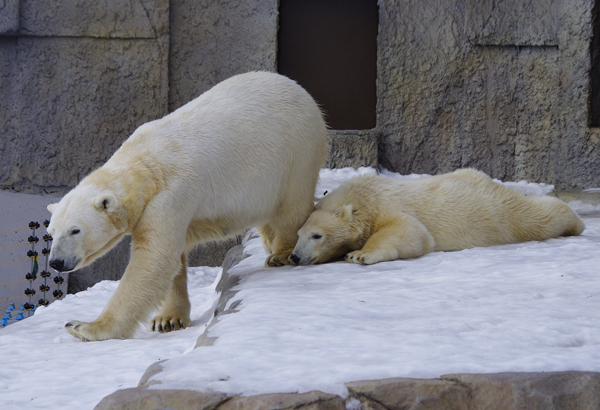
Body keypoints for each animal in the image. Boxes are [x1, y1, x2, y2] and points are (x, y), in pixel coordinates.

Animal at [47, 72, 328, 342]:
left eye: (75, 230)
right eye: (51, 233)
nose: (56, 262)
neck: (145, 166)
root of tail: (299, 90)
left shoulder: (172, 195)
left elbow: (154, 256)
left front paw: (84, 327)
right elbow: (172, 257)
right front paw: (168, 320)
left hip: (296, 151)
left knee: (292, 207)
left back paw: (281, 253)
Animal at [290, 167, 584, 266]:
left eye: (317, 235)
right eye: (298, 235)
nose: (293, 256)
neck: (362, 197)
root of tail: (483, 178)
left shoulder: (386, 204)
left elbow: (411, 231)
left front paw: (359, 255)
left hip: (494, 210)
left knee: (536, 217)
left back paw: (576, 222)